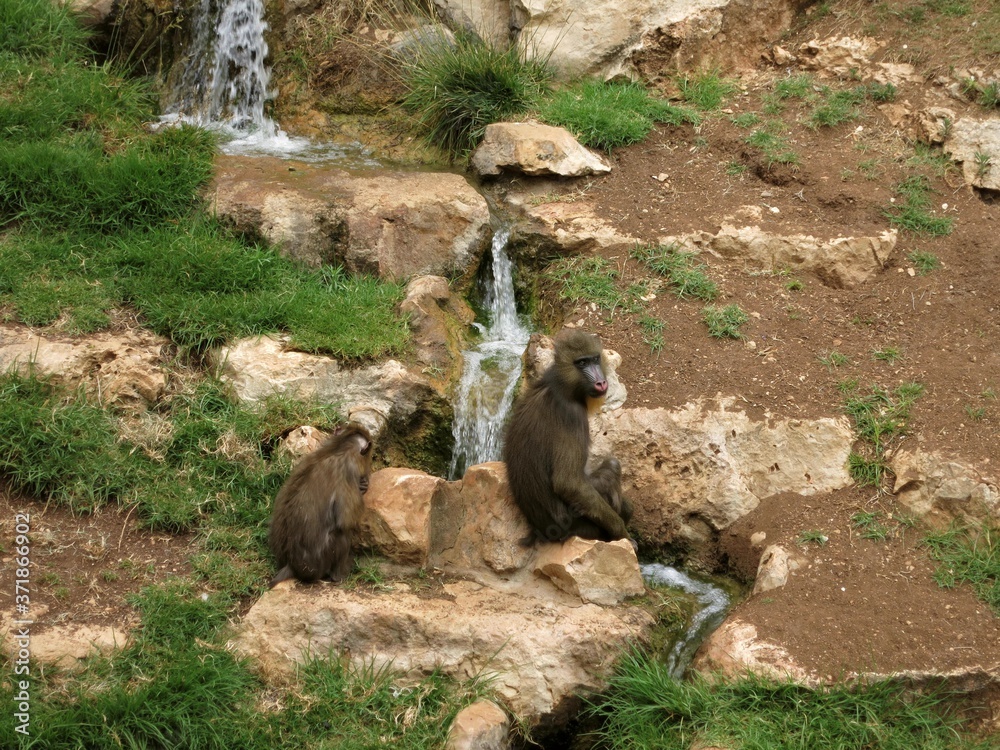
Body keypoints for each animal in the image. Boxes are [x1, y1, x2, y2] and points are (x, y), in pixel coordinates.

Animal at [267, 422, 373, 588]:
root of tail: (290, 564)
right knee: (342, 534)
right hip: (322, 560)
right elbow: (346, 520)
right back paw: (338, 575)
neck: (338, 448)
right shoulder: (349, 472)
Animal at [503, 328, 635, 548]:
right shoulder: (573, 415)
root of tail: (541, 532)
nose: (601, 382)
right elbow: (569, 483)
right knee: (611, 468)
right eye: (581, 363)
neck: (562, 385)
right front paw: (622, 533)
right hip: (583, 526)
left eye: (594, 359)